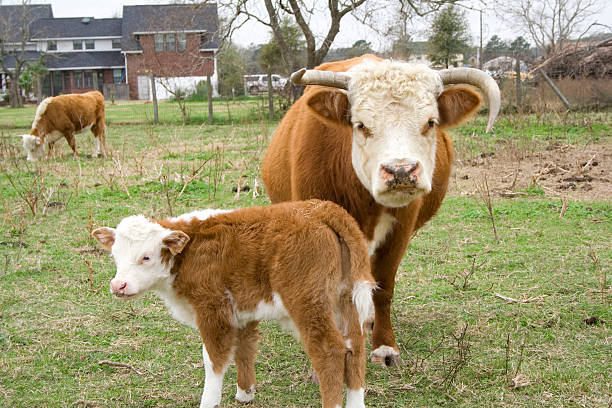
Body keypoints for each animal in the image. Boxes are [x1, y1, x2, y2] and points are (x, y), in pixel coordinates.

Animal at [93, 200, 376, 408]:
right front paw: (245, 393)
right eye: (115, 256)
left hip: (308, 302)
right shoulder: (242, 310)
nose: (118, 285)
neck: (189, 251)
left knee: (331, 351)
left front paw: (209, 401)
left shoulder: (212, 308)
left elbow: (213, 359)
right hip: (346, 301)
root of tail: (322, 209)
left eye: (146, 257)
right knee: (355, 348)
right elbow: (245, 348)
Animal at [260, 55, 500, 366]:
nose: (401, 171)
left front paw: (384, 346)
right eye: (361, 125)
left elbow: (384, 286)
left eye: (430, 122)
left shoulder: (400, 230)